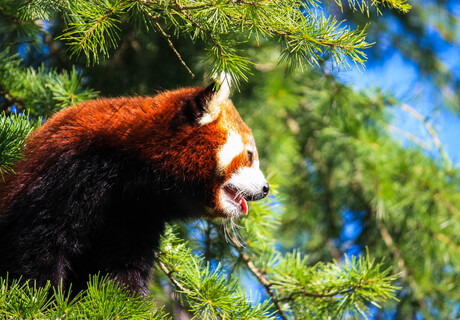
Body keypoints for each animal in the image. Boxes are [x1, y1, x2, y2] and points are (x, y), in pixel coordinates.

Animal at [0, 80, 270, 296]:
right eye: (249, 156)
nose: (266, 188)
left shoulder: (138, 216)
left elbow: (123, 270)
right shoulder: (67, 173)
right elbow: (39, 246)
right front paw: (44, 301)